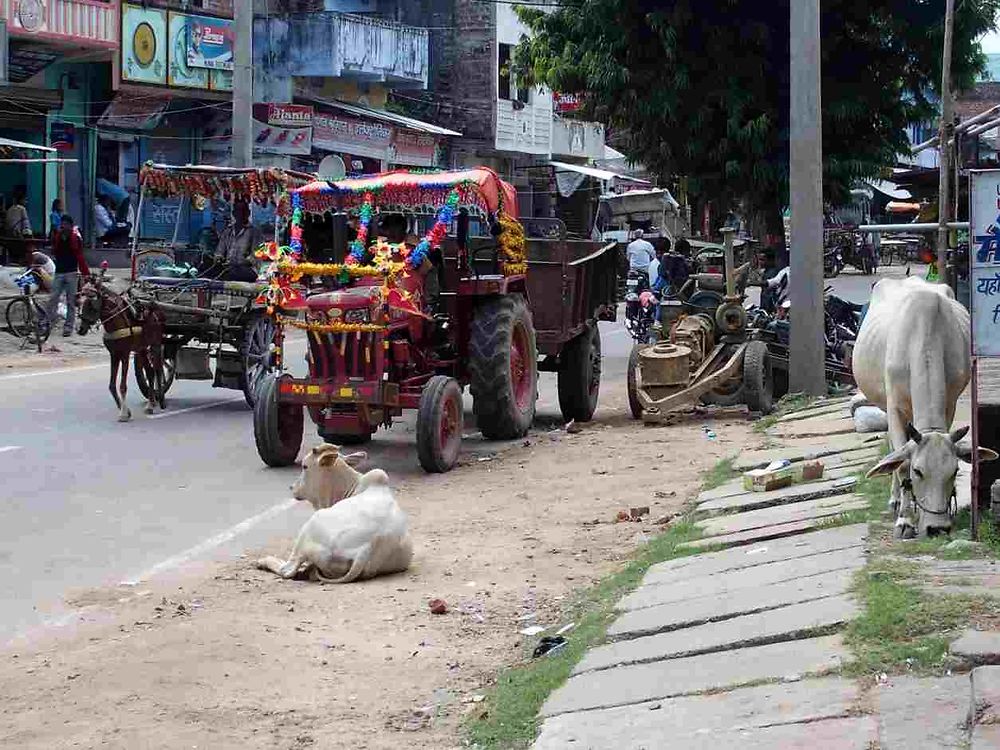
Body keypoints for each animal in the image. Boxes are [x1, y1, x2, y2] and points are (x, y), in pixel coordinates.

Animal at [78, 278, 167, 424]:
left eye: (91, 303)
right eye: (80, 301)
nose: (81, 329)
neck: (115, 321)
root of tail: (155, 307)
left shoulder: (124, 353)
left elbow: (122, 386)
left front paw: (123, 414)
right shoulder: (114, 354)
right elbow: (112, 386)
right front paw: (125, 410)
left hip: (155, 344)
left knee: (158, 370)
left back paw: (161, 400)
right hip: (141, 348)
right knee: (150, 372)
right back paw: (151, 404)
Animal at [260, 444, 416, 584]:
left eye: (305, 466)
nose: (292, 487)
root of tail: (365, 549)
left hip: (309, 527)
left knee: (287, 570)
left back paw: (263, 561)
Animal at [852, 280, 992, 536]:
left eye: (954, 471)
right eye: (918, 472)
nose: (937, 528)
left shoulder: (949, 404)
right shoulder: (894, 408)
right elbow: (902, 463)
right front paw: (905, 521)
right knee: (893, 451)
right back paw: (896, 500)